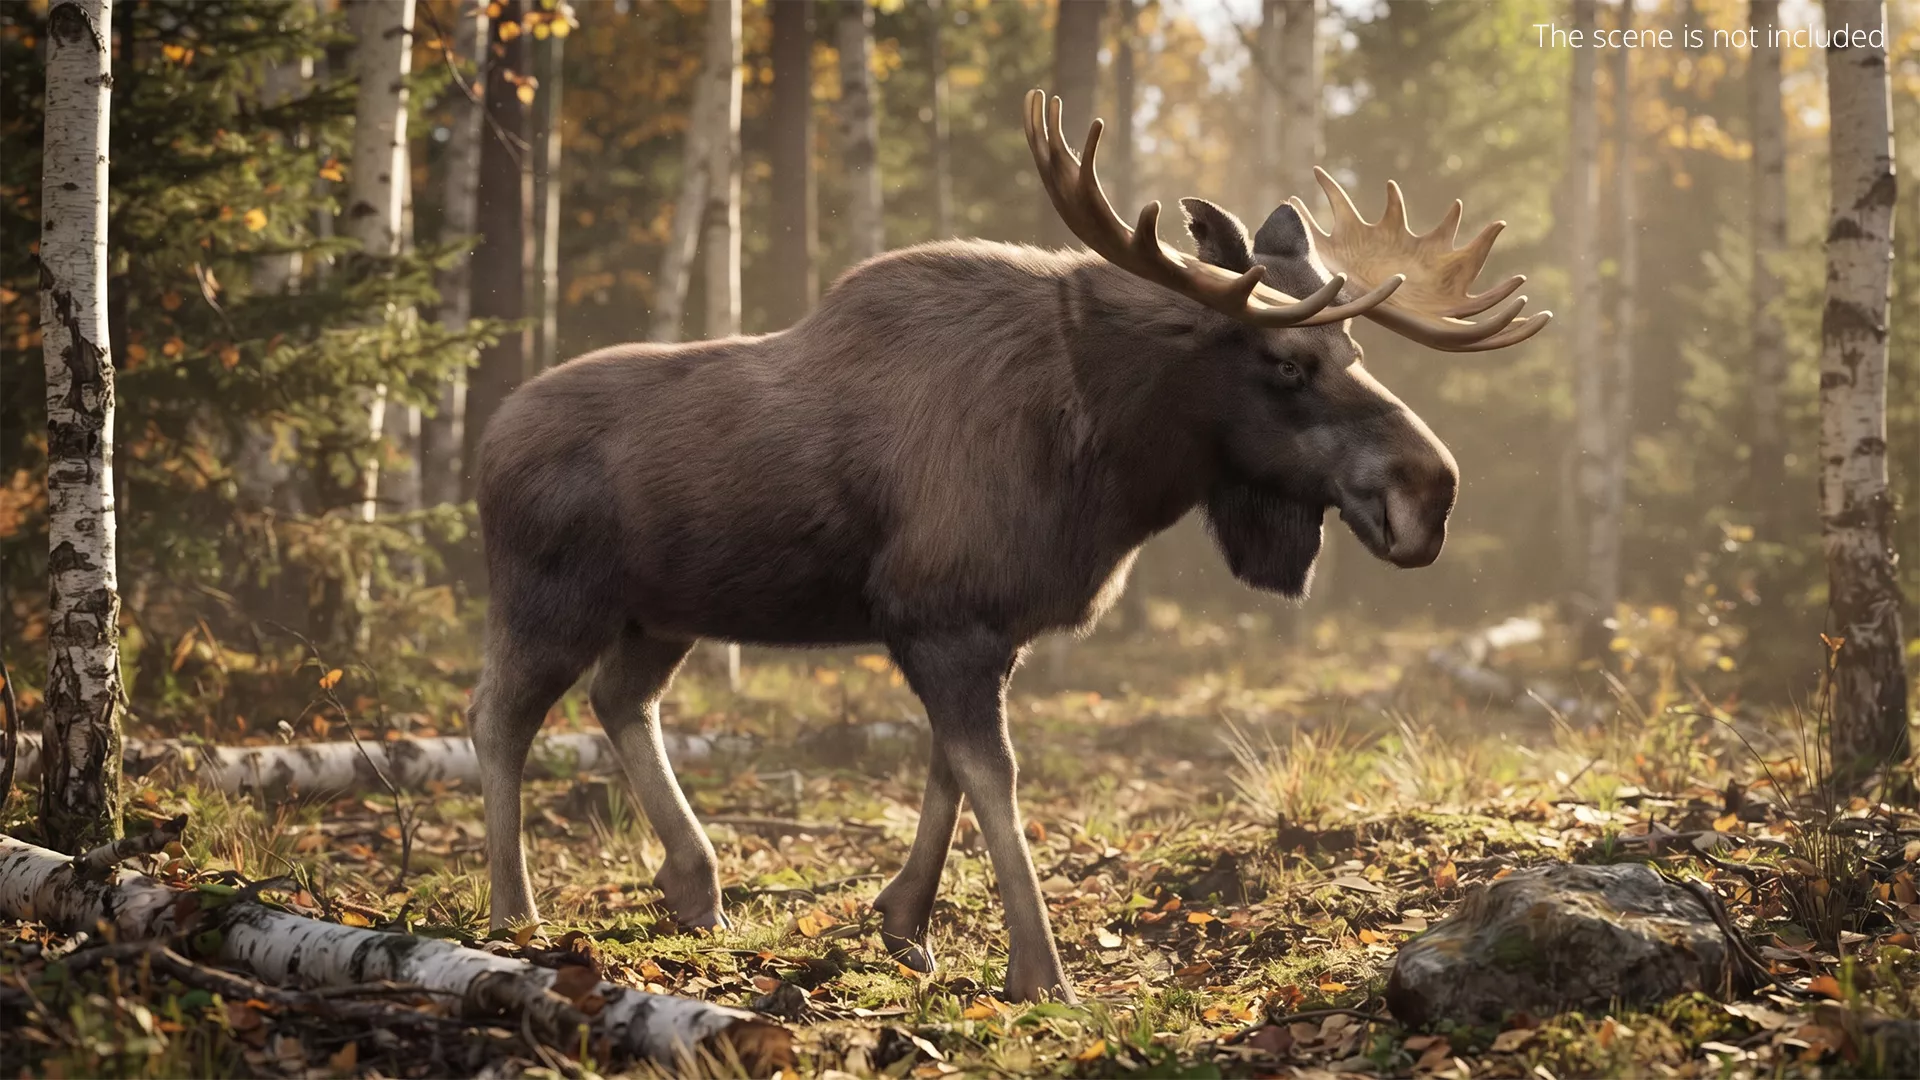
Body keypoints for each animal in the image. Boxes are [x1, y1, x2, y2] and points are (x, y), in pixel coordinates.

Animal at [470, 90, 1549, 1003]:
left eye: (1357, 352)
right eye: (1288, 362)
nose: (1432, 490)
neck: (1112, 460)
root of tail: (482, 450)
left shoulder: (985, 631)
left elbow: (948, 770)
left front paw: (904, 923)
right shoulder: (943, 619)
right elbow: (996, 780)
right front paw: (1040, 971)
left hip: (661, 615)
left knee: (622, 701)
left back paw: (695, 884)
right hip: (551, 601)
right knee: (499, 719)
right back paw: (515, 912)